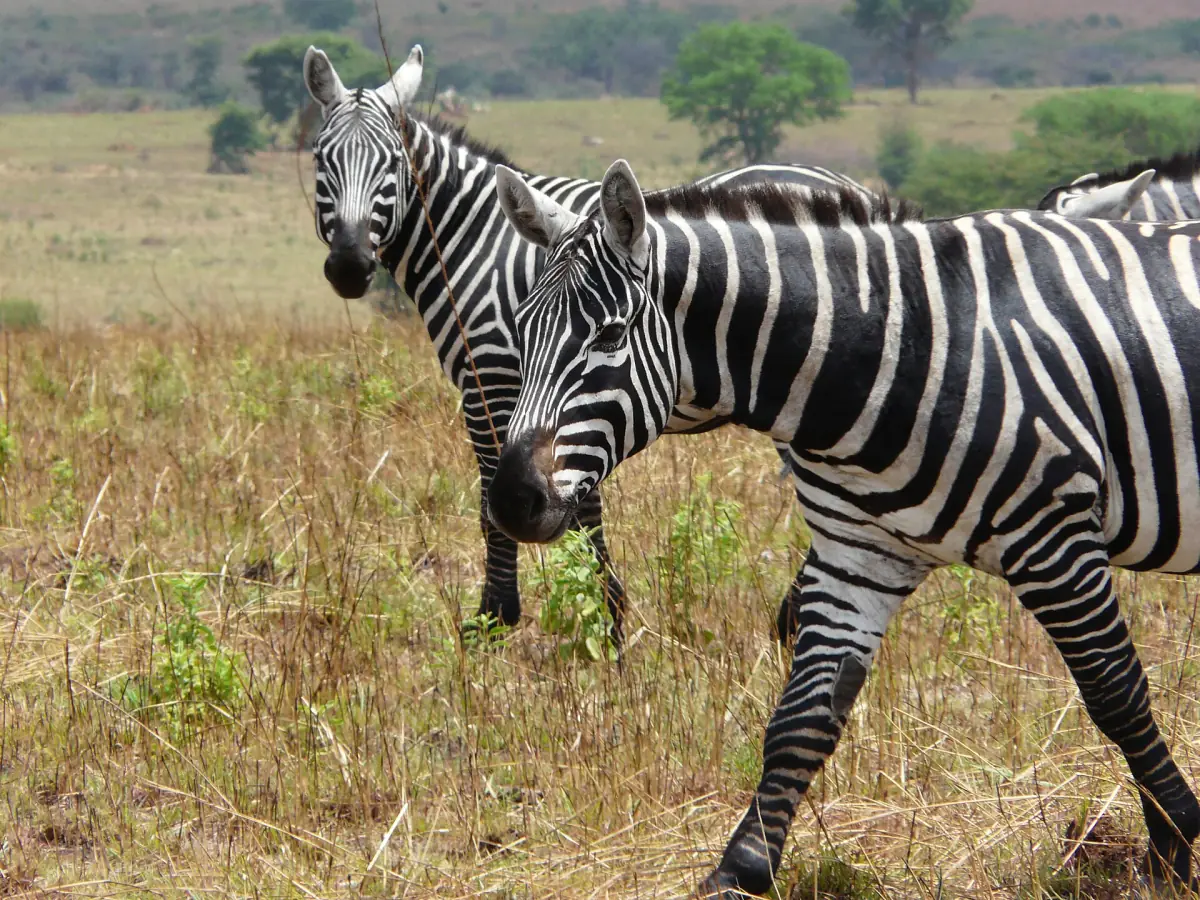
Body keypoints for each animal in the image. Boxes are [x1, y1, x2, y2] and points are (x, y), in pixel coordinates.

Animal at [302, 44, 891, 639]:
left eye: (393, 164)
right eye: (321, 160)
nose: (349, 265)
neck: (473, 237)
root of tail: (852, 188)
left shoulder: (489, 382)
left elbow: (495, 500)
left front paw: (499, 617)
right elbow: (579, 500)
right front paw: (607, 611)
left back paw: (794, 616)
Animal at [486, 158, 1200, 896]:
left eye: (609, 336)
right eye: (522, 330)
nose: (511, 500)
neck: (894, 346)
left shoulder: (1053, 536)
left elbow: (1116, 693)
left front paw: (1172, 847)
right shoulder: (857, 554)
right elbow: (801, 718)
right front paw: (741, 869)